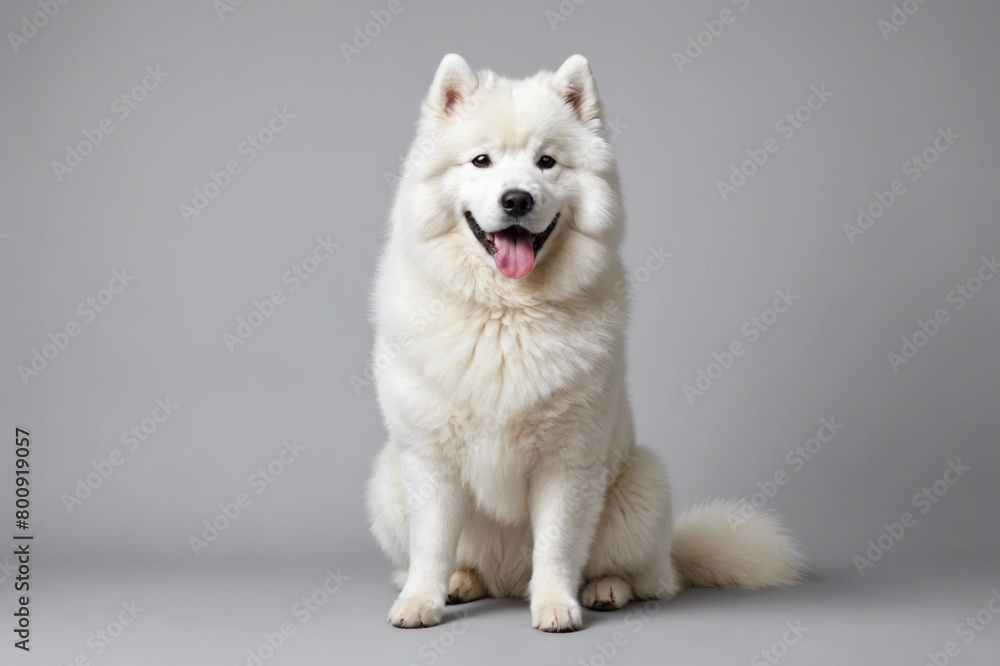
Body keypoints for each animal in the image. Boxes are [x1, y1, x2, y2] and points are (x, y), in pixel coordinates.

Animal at [368, 54, 804, 632]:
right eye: (481, 160)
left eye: (547, 162)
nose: (517, 198)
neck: (507, 315)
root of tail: (507, 581)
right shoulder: (430, 461)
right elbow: (433, 545)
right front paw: (421, 602)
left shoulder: (567, 462)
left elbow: (556, 545)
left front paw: (556, 606)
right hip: (387, 480)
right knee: (459, 560)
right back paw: (463, 582)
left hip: (642, 485)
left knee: (647, 577)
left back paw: (604, 590)